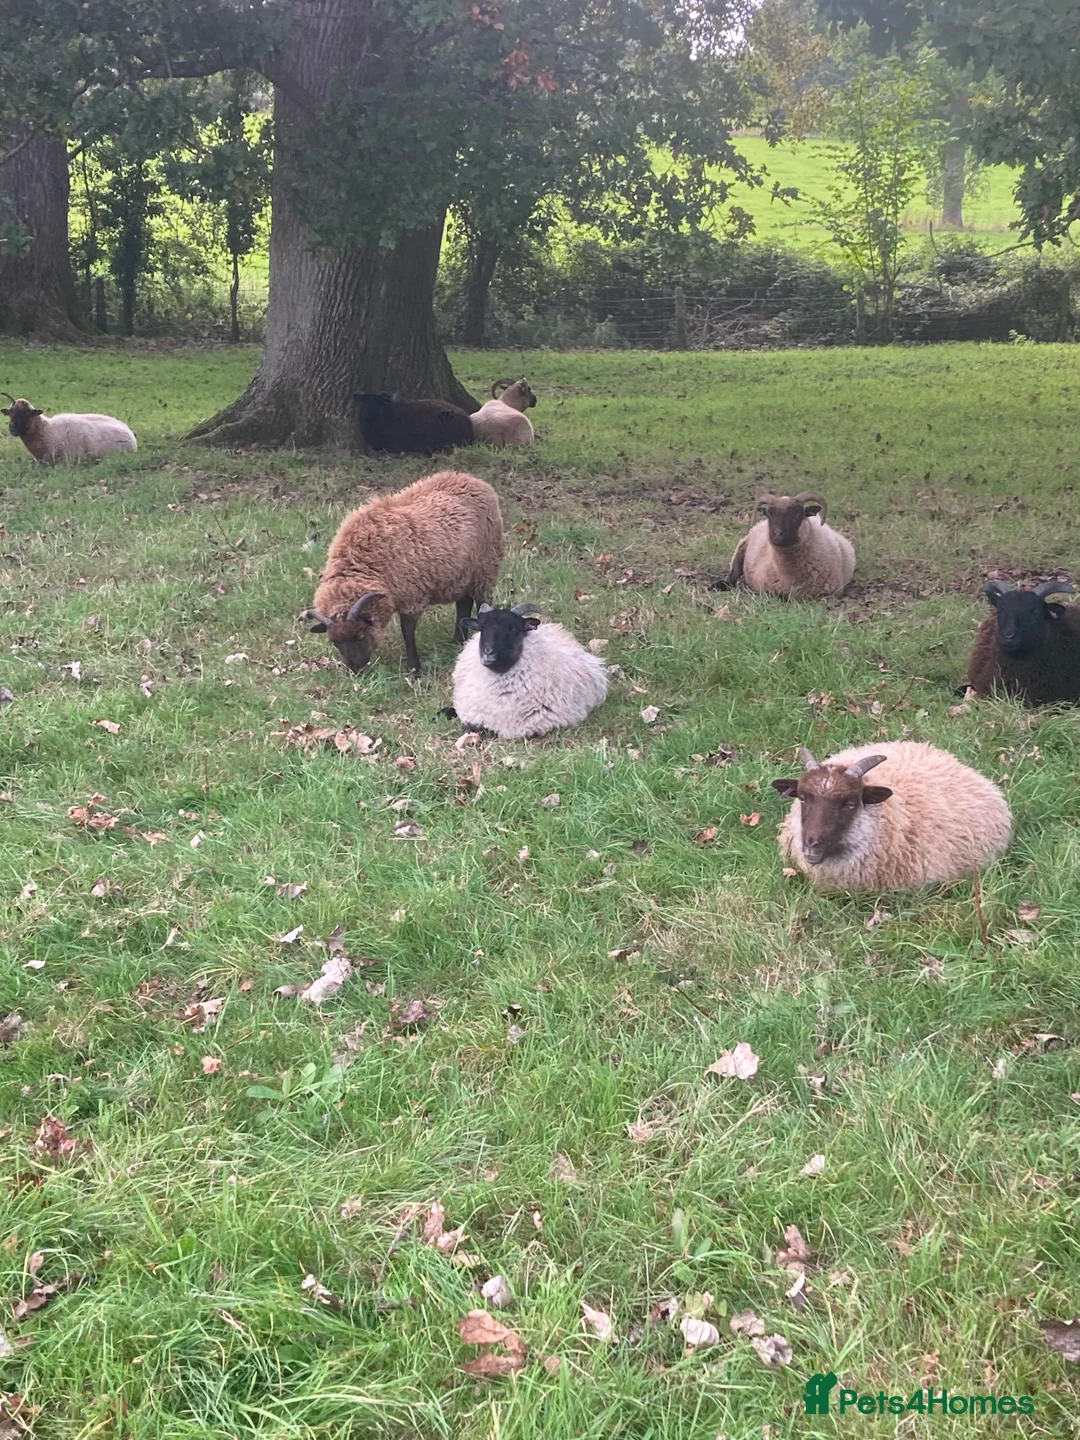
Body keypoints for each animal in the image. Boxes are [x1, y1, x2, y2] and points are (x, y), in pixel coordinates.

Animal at [303, 469, 503, 674]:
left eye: (360, 634)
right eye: (334, 642)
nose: (356, 670)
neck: (365, 566)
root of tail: (473, 480)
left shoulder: (411, 595)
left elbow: (407, 630)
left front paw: (413, 668)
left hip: (485, 566)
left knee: (482, 602)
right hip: (462, 572)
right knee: (463, 602)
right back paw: (457, 641)